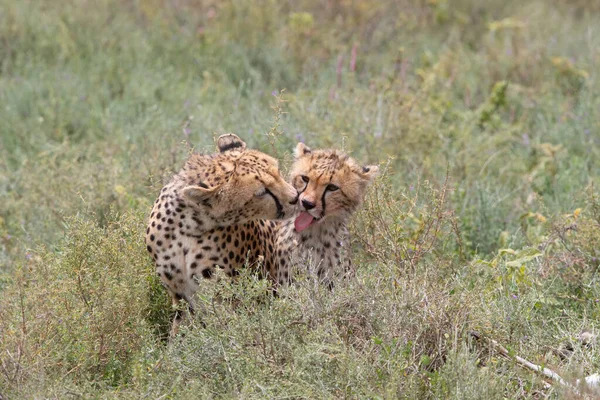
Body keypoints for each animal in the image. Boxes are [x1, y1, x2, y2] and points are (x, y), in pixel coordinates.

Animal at [144, 134, 298, 334]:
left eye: (278, 172)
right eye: (262, 192)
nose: (296, 197)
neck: (187, 226)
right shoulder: (180, 295)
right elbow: (181, 331)